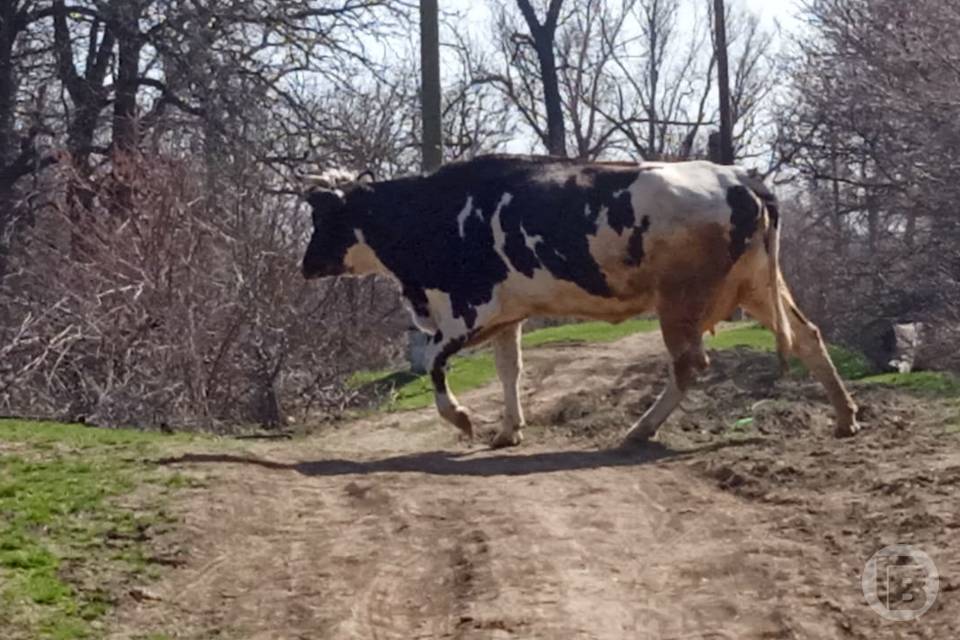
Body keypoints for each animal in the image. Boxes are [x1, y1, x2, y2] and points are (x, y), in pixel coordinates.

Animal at [302, 153, 864, 448]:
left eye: (323, 217)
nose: (304, 265)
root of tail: (737, 176)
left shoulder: (468, 312)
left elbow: (437, 366)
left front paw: (462, 419)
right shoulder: (508, 314)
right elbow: (509, 371)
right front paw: (509, 430)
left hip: (681, 300)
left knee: (690, 364)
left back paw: (640, 430)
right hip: (758, 287)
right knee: (809, 337)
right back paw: (844, 417)